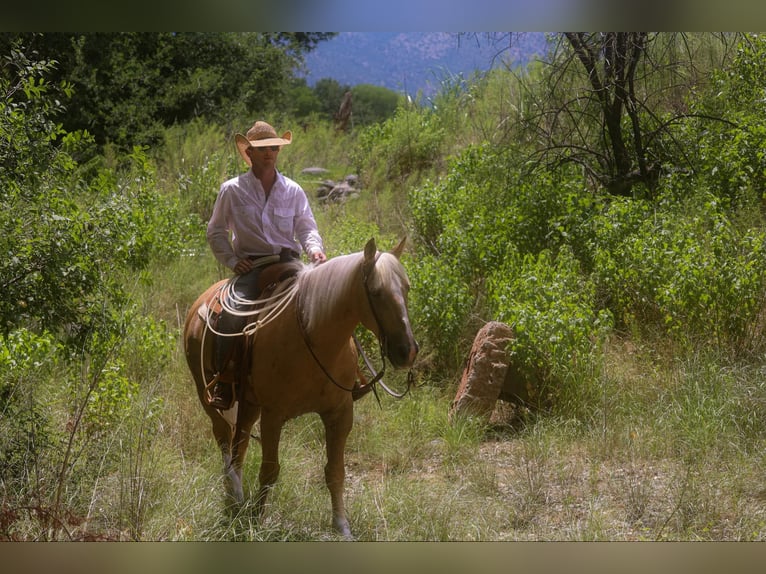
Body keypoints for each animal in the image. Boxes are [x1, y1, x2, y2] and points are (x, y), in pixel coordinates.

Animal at [182, 237, 418, 538]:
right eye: (376, 292)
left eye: (407, 287)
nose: (407, 351)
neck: (313, 337)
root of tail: (199, 302)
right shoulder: (273, 415)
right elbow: (270, 470)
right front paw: (256, 520)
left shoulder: (340, 413)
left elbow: (335, 471)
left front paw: (341, 526)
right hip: (209, 397)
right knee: (224, 437)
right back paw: (234, 493)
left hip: (249, 403)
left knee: (240, 443)